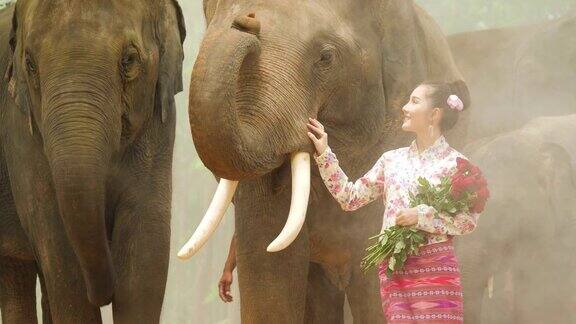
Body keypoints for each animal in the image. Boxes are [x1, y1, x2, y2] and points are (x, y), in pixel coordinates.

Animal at [0, 1, 184, 322]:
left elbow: (144, 257)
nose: (104, 295)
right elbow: (60, 254)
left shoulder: (158, 124)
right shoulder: (22, 132)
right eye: (30, 64)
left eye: (129, 59)